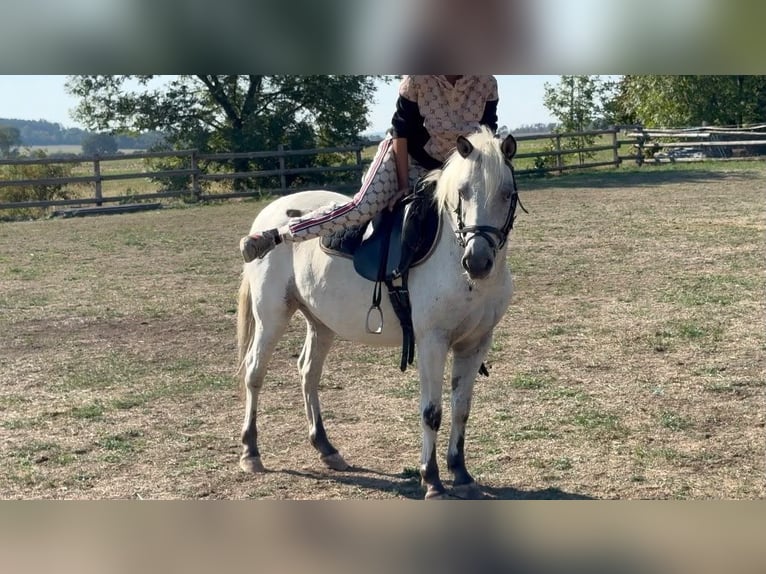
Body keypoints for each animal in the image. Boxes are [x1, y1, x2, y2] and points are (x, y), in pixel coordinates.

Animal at [236, 127, 521, 499]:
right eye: (463, 192)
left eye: (507, 193)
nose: (477, 261)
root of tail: (269, 213)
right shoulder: (432, 342)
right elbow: (432, 412)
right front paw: (431, 479)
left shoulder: (475, 344)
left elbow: (461, 409)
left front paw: (461, 474)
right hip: (271, 316)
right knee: (255, 372)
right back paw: (251, 452)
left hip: (321, 323)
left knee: (308, 372)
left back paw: (327, 448)